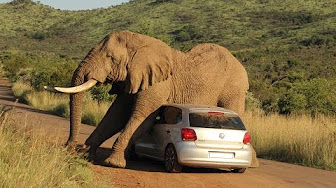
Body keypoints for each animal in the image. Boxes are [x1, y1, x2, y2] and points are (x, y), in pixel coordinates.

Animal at [45, 30, 260, 167]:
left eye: (111, 58)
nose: (68, 147)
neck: (140, 42)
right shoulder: (133, 78)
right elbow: (115, 117)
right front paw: (86, 154)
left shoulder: (158, 84)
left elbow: (142, 118)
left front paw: (113, 163)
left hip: (234, 88)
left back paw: (253, 163)